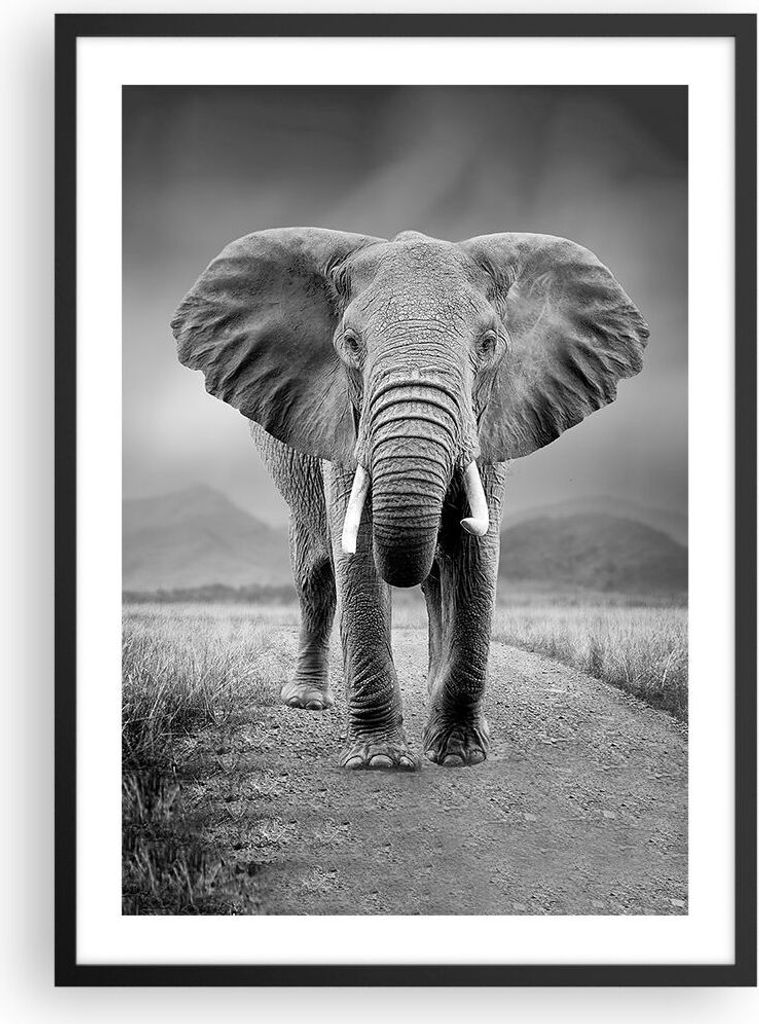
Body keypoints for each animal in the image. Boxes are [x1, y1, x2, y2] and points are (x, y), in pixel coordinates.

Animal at [171, 228, 648, 771]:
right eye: (350, 344)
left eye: (488, 345)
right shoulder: (345, 426)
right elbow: (355, 557)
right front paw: (380, 761)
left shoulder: (488, 426)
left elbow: (476, 558)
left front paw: (459, 754)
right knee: (315, 574)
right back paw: (307, 701)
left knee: (437, 578)